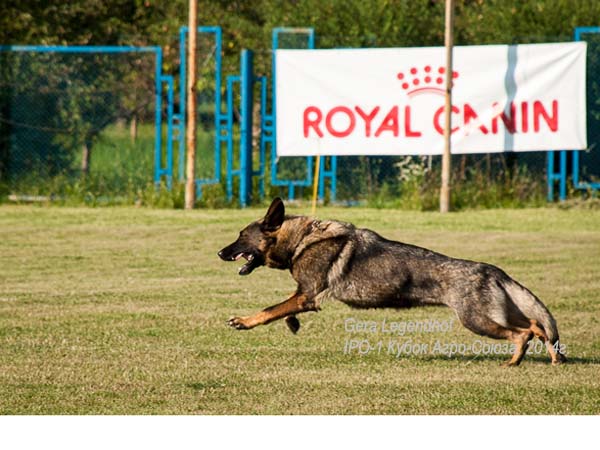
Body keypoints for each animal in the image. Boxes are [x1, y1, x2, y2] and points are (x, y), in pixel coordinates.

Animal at [218, 198, 564, 366]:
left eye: (240, 236)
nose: (220, 252)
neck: (302, 239)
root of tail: (491, 270)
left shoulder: (306, 295)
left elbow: (270, 309)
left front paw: (244, 321)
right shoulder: (305, 296)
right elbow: (283, 310)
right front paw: (292, 324)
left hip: (477, 320)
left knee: (523, 333)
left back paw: (514, 362)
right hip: (496, 314)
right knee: (537, 325)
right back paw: (553, 357)